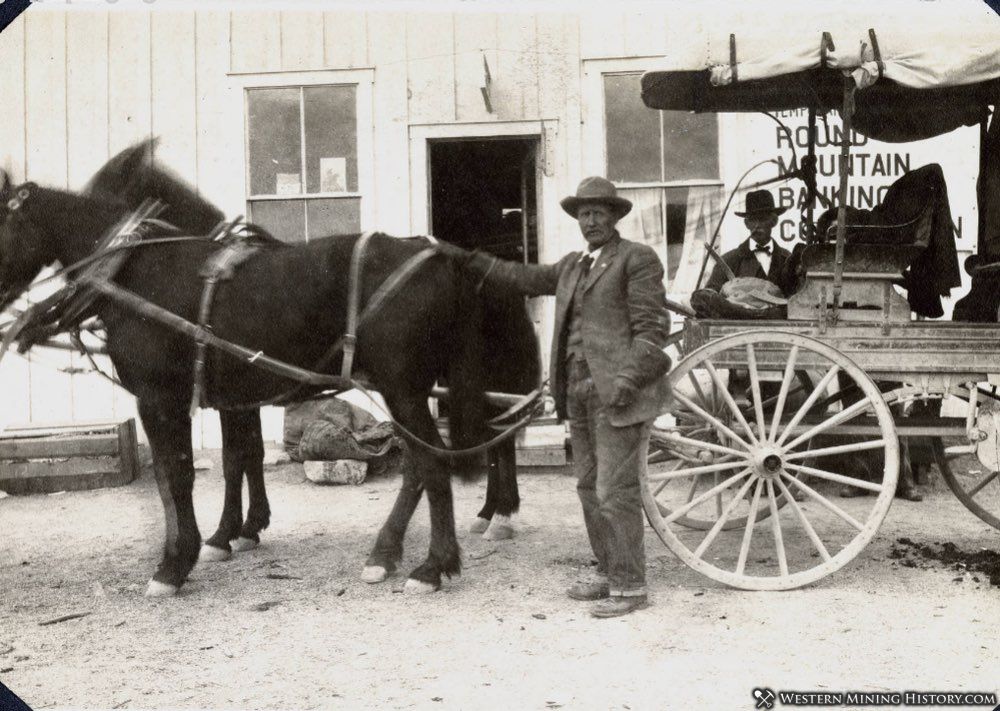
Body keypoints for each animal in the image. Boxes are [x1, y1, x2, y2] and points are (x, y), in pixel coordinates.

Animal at [0, 159, 540, 596]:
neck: (134, 269)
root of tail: (445, 259)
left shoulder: (160, 397)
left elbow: (175, 475)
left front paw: (176, 562)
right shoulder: (231, 397)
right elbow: (239, 459)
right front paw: (232, 534)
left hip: (403, 386)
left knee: (433, 460)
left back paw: (435, 563)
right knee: (434, 459)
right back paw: (394, 551)